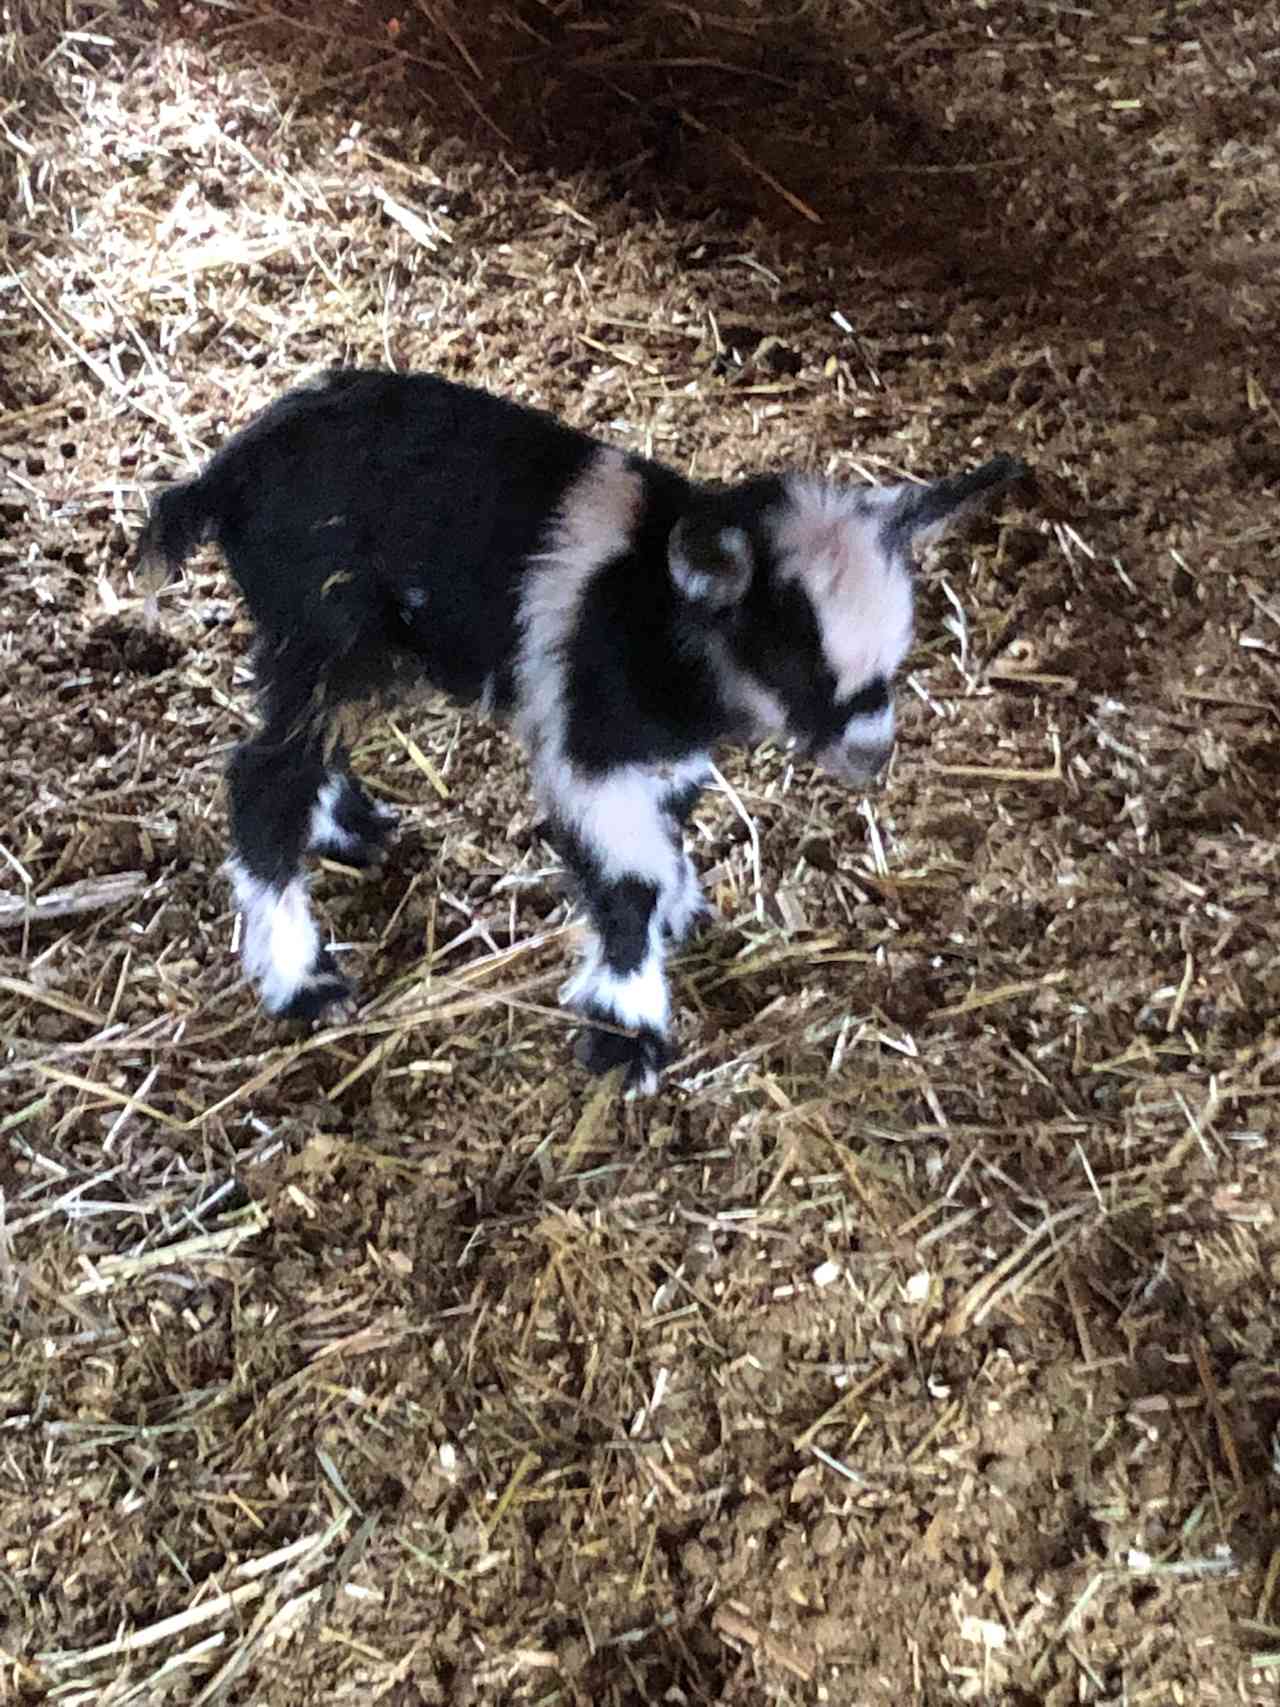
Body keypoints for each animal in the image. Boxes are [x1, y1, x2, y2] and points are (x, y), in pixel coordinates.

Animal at [135, 373, 1030, 1092]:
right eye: (793, 658)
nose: (870, 755)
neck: (653, 615)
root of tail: (226, 474)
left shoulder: (661, 756)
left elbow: (669, 828)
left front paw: (678, 907)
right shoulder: (590, 751)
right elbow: (625, 879)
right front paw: (627, 1028)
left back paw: (347, 825)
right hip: (324, 630)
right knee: (262, 779)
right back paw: (300, 979)